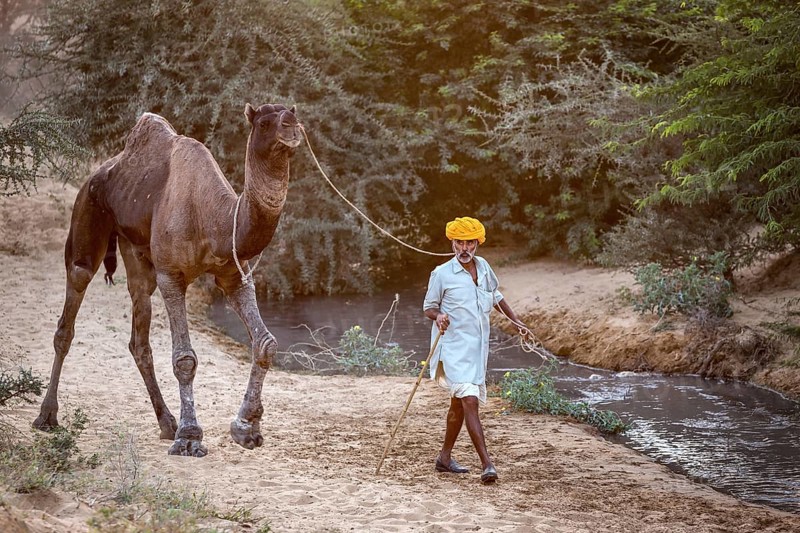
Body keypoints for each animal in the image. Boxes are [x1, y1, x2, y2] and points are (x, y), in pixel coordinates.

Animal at [33, 103, 301, 457]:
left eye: (292, 111)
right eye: (265, 122)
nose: (292, 125)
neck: (217, 220)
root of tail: (99, 171)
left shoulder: (235, 275)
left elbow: (266, 343)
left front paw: (246, 428)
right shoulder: (171, 276)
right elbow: (184, 359)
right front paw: (190, 438)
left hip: (136, 251)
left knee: (139, 331)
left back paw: (166, 422)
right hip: (86, 216)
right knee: (72, 301)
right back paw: (47, 416)